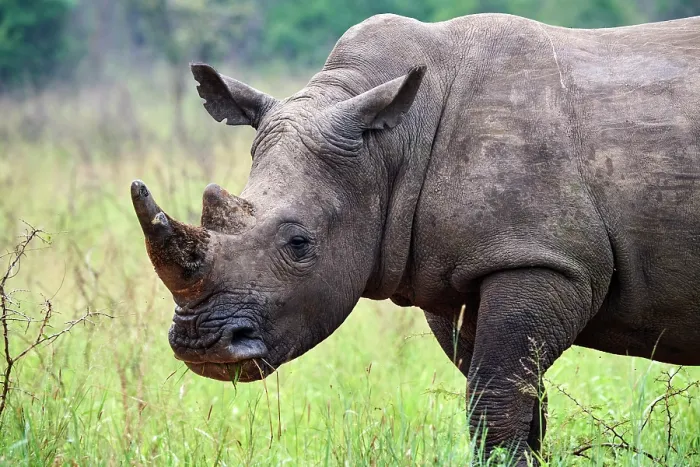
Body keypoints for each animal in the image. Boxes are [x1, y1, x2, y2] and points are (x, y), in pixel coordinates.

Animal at [131, 12, 700, 464]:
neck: (388, 146)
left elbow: (495, 400)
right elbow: (514, 401)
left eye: (299, 245)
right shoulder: (457, 274)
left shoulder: (544, 260)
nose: (201, 344)